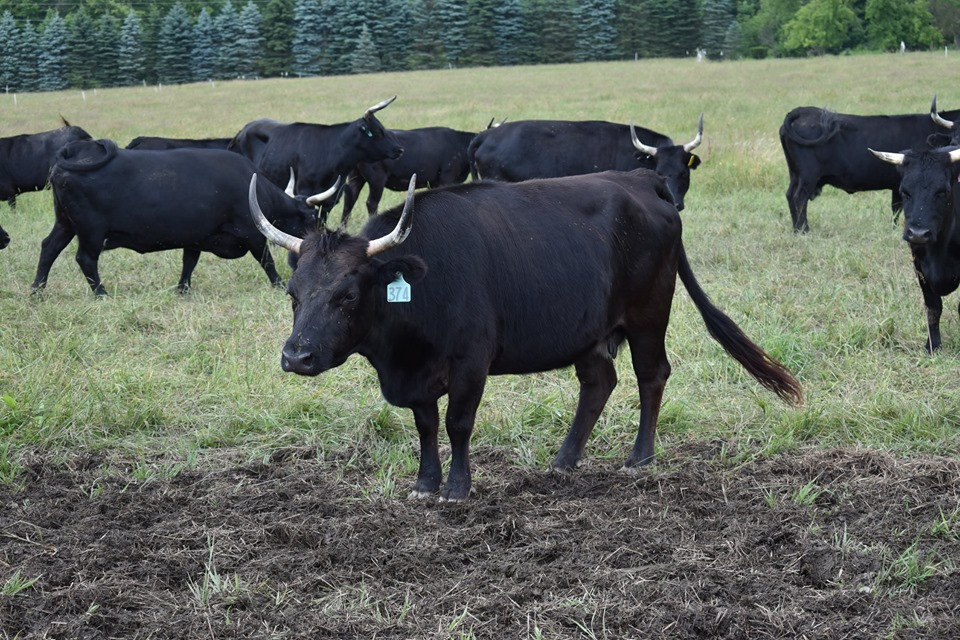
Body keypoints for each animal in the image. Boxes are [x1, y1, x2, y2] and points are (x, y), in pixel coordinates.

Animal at [31, 139, 336, 296]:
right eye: (314, 219)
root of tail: (73, 155)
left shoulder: (196, 238)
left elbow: (189, 263)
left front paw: (182, 289)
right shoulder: (253, 234)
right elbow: (267, 261)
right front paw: (279, 285)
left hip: (65, 224)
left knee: (48, 248)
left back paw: (37, 291)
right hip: (91, 232)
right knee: (85, 259)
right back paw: (101, 294)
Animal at [247, 169, 803, 501]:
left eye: (346, 295)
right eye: (294, 293)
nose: (296, 356)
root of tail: (637, 176)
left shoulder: (471, 362)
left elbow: (458, 424)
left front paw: (457, 488)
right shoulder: (417, 376)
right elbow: (425, 426)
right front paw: (425, 484)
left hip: (648, 316)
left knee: (653, 376)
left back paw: (639, 457)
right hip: (588, 332)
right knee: (599, 384)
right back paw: (564, 460)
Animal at [339, 126, 477, 224]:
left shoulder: (434, 183)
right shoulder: (447, 177)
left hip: (356, 178)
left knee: (349, 200)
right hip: (377, 180)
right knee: (371, 202)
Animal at [779, 103, 960, 232]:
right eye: (955, 136)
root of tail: (801, 112)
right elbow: (898, 208)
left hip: (795, 174)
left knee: (790, 195)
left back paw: (796, 229)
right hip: (808, 176)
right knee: (799, 197)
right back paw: (804, 230)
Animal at [870, 144, 960, 352]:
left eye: (943, 191)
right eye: (905, 192)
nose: (918, 233)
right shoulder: (919, 267)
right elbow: (933, 307)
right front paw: (932, 345)